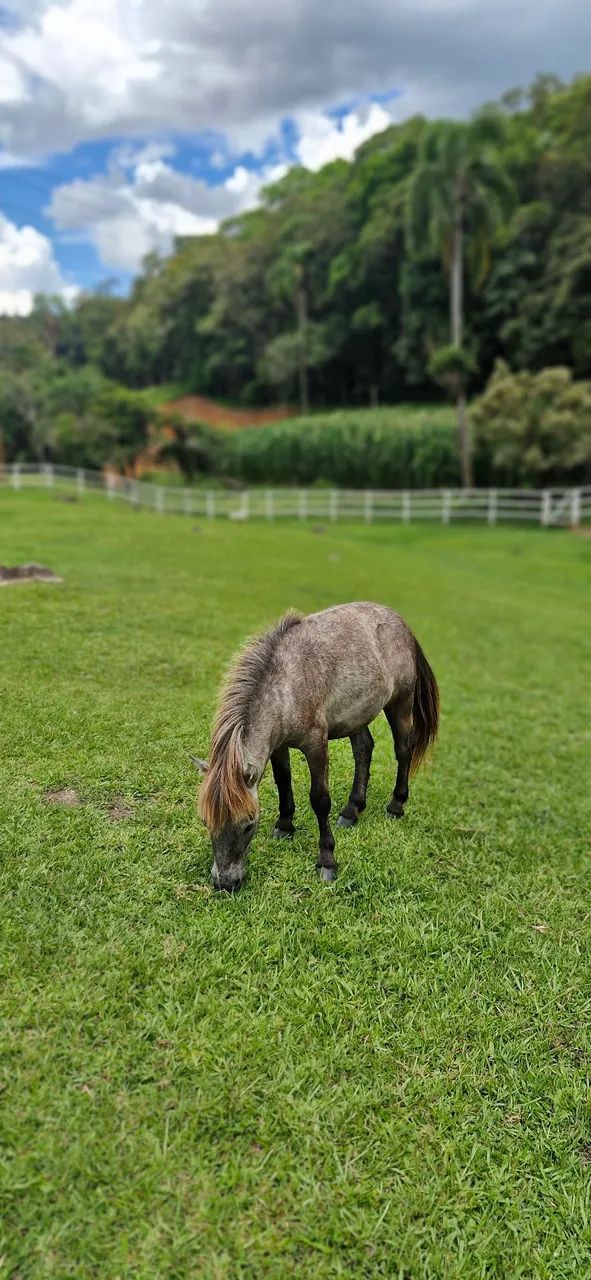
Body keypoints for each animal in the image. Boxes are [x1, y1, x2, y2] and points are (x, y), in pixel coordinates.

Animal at [193, 602, 439, 891]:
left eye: (248, 824)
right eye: (206, 821)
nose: (226, 883)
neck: (286, 687)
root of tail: (401, 624)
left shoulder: (316, 745)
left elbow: (320, 799)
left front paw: (327, 861)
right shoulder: (278, 745)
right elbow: (283, 781)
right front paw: (285, 825)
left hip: (400, 704)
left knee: (403, 751)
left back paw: (396, 806)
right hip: (356, 715)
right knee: (364, 750)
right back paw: (352, 811)